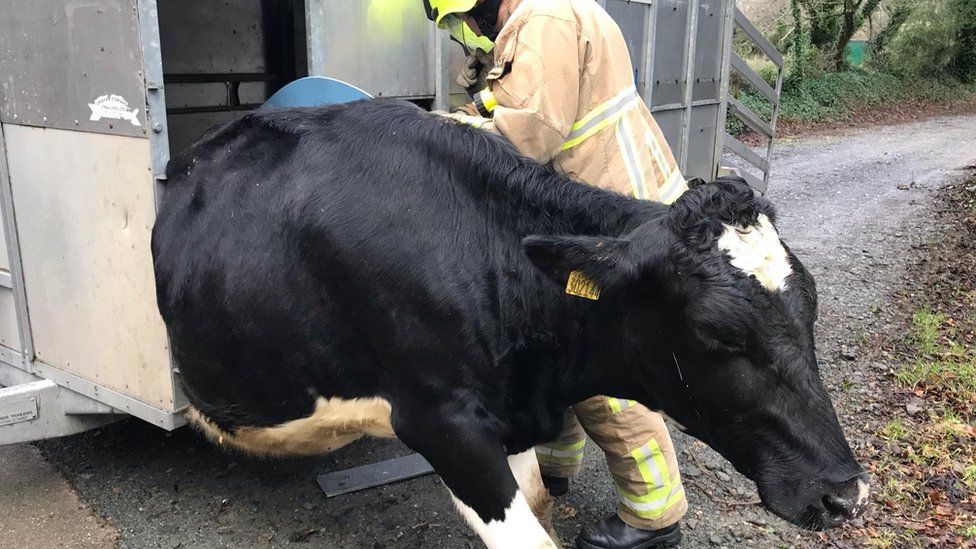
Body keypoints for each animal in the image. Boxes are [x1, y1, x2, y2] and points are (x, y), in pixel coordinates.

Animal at [152, 99, 868, 548]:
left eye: (811, 307)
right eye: (718, 334)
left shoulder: (513, 418)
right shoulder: (443, 425)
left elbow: (544, 506)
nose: (846, 493)